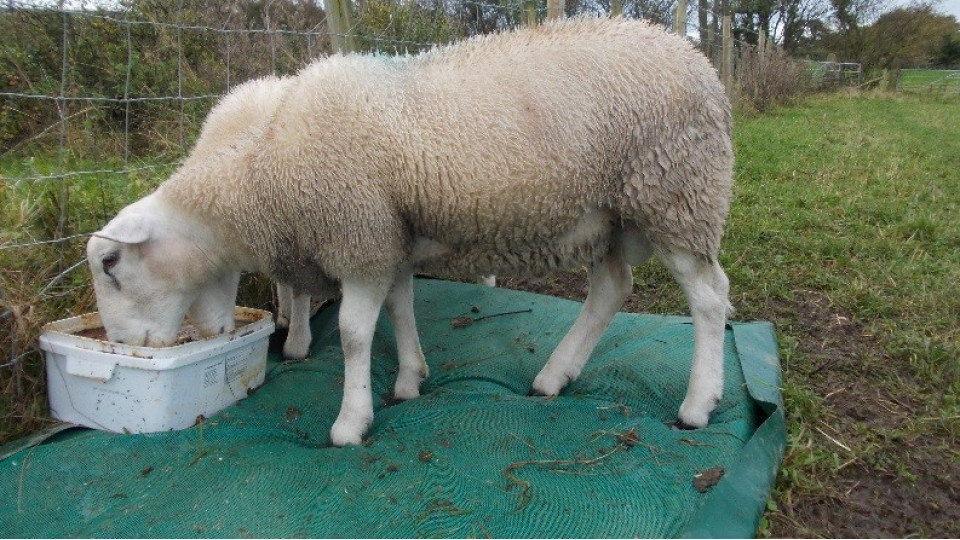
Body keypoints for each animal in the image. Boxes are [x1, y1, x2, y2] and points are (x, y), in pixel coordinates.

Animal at [86, 17, 734, 447]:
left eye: (110, 266)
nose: (121, 346)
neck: (263, 171)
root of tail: (700, 62)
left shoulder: (357, 234)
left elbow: (353, 333)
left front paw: (351, 422)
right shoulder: (386, 237)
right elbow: (399, 308)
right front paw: (408, 380)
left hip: (675, 192)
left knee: (708, 298)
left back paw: (697, 406)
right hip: (610, 213)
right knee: (610, 291)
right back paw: (554, 377)